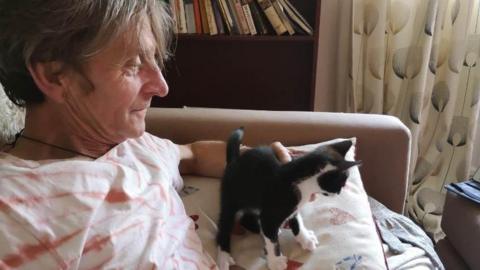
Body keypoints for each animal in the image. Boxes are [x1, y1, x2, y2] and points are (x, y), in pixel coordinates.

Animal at [217, 128, 360, 270]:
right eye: (341, 183)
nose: (339, 193)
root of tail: (234, 160)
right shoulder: (273, 213)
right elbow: (271, 238)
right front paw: (275, 261)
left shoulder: (294, 206)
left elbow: (297, 220)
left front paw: (305, 238)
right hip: (231, 198)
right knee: (225, 223)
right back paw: (224, 256)